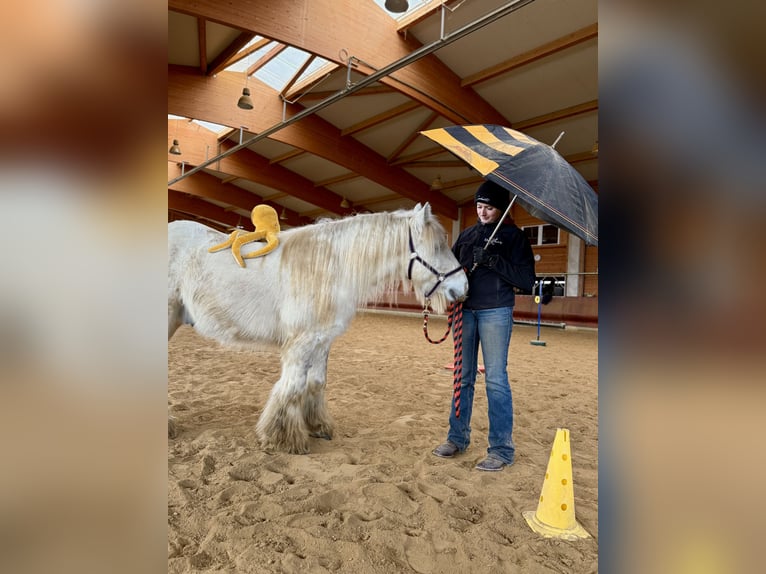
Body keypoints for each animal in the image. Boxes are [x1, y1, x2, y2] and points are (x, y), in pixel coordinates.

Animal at [168, 203, 469, 454]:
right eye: (438, 246)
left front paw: (317, 426)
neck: (330, 267)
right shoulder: (301, 342)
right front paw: (283, 439)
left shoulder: (322, 340)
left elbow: (316, 382)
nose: (463, 287)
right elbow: (293, 386)